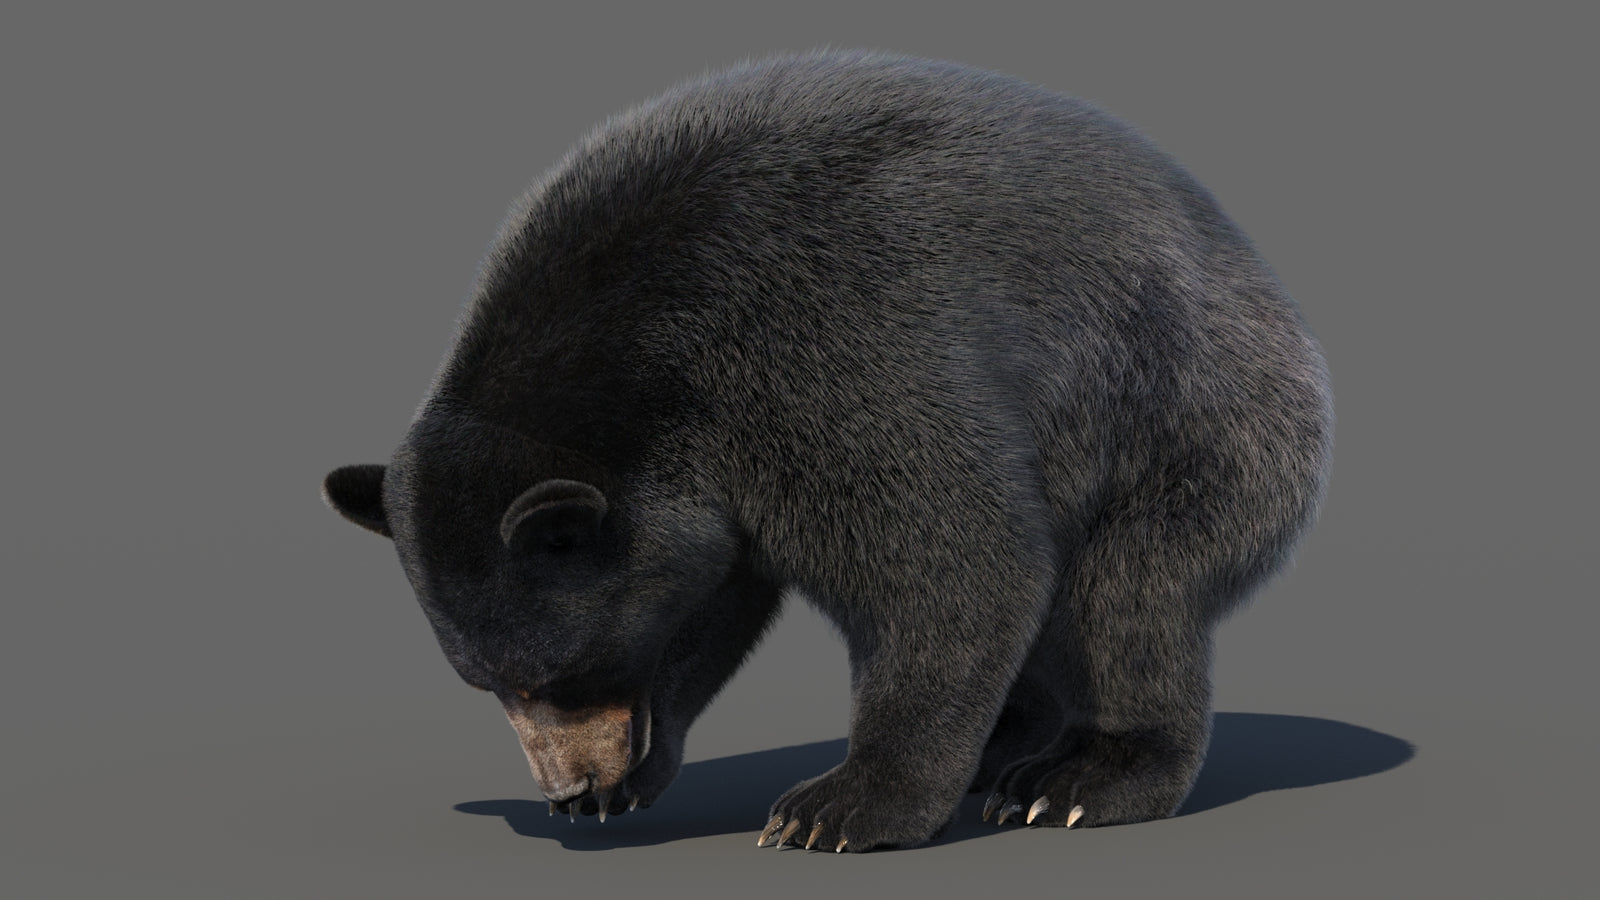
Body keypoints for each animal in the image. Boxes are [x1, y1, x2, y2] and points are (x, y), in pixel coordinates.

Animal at [323, 50, 1333, 853]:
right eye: (488, 682)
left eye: (560, 676)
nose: (569, 789)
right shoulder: (704, 478)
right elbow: (709, 599)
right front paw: (636, 777)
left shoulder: (827, 348)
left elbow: (955, 558)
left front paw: (839, 806)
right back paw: (1009, 744)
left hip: (1188, 420)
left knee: (1128, 596)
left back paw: (1079, 778)